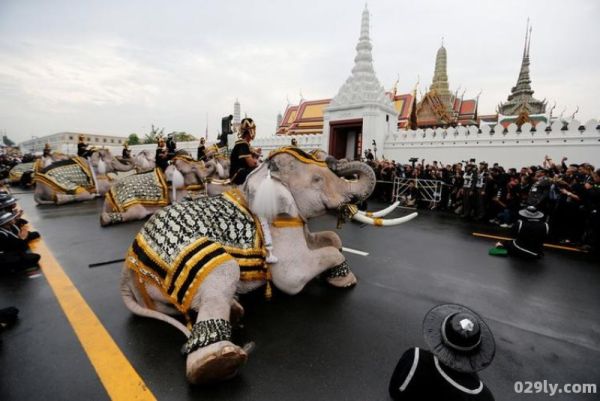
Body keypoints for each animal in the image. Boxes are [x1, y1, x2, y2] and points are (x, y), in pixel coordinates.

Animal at [119, 145, 414, 382]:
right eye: (317, 179)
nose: (332, 157)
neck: (263, 175)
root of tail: (127, 272)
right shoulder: (277, 225)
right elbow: (293, 276)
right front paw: (343, 279)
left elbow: (330, 239)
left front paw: (331, 268)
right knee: (224, 270)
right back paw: (218, 363)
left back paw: (235, 309)